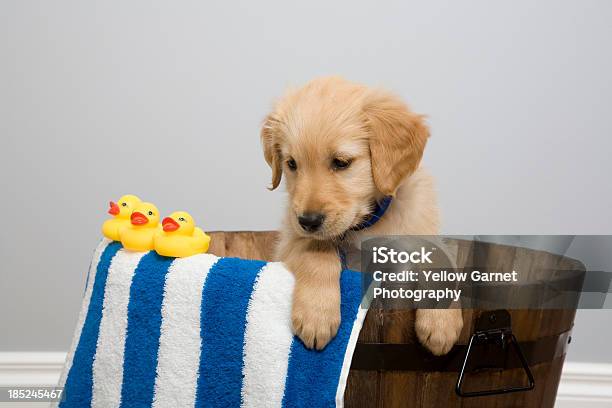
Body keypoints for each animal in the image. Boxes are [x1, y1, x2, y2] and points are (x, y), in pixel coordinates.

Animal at [260, 76, 464, 354]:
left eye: (341, 162)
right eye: (292, 164)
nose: (308, 221)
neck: (365, 225)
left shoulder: (419, 232)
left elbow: (441, 259)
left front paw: (441, 321)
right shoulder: (290, 239)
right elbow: (317, 250)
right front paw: (317, 314)